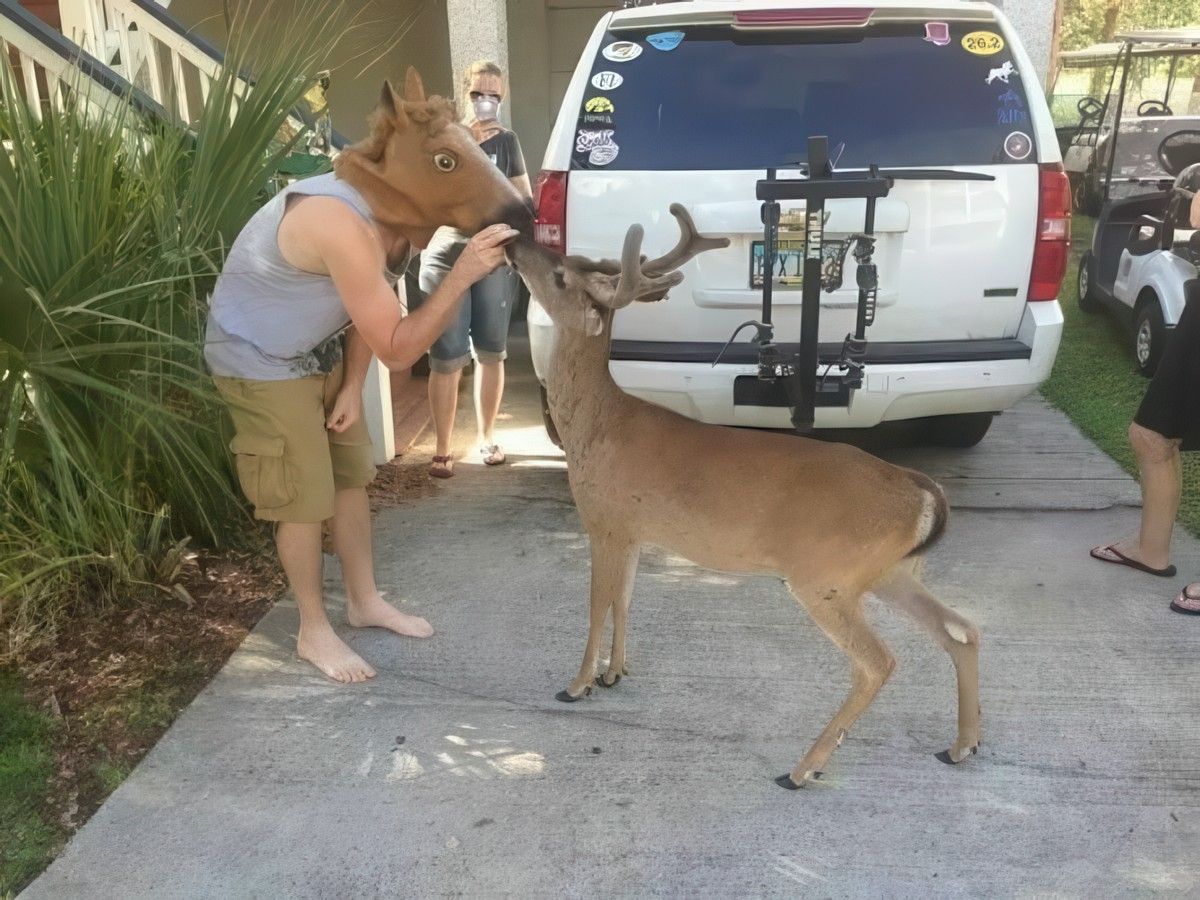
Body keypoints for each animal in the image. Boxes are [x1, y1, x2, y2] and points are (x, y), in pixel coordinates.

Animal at [508, 204, 984, 787]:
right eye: (569, 259)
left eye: (560, 276)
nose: (513, 242)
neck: (597, 426)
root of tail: (922, 492)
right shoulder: (636, 531)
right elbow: (626, 598)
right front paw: (616, 673)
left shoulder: (604, 518)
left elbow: (598, 604)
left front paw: (578, 685)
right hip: (889, 571)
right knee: (962, 629)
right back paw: (962, 745)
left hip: (826, 575)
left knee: (879, 661)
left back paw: (802, 769)